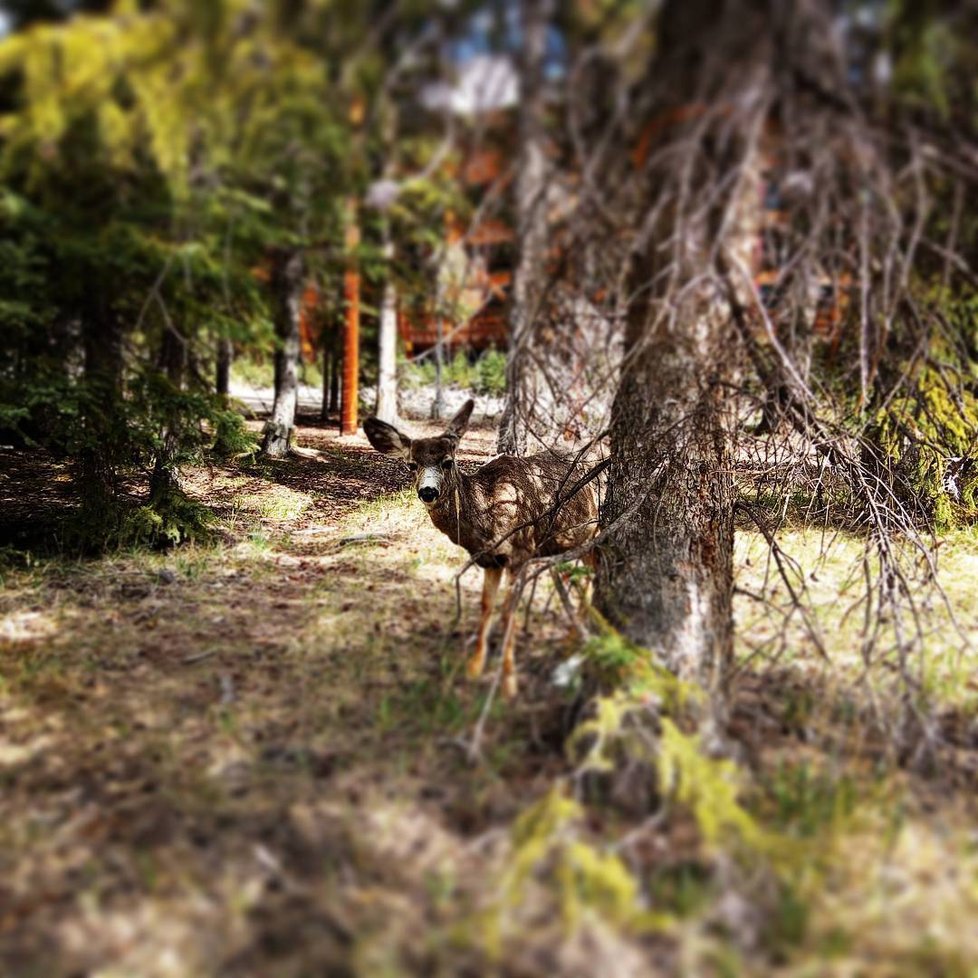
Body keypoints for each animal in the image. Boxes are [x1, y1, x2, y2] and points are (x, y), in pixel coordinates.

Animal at [362, 400, 600, 696]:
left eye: (448, 462)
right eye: (411, 465)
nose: (428, 492)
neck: (488, 512)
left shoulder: (523, 550)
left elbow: (509, 612)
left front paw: (509, 682)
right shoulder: (490, 559)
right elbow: (487, 606)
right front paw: (475, 667)